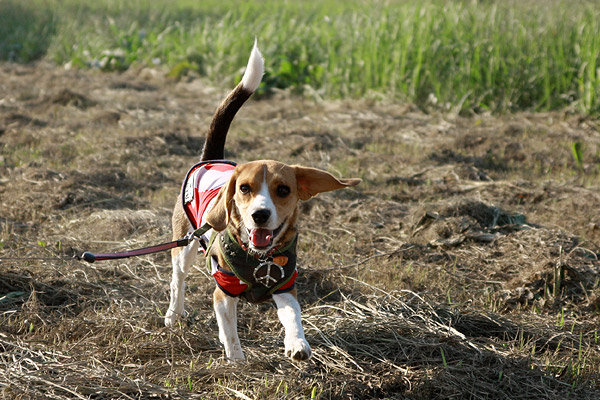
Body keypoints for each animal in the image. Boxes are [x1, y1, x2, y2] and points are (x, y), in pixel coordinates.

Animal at [164, 43, 360, 362]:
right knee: (177, 280)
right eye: (244, 188)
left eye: (283, 190)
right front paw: (236, 361)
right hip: (185, 244)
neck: (259, 256)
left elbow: (292, 316)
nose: (260, 215)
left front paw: (297, 343)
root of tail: (211, 159)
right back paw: (173, 313)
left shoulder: (285, 286)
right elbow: (231, 331)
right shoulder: (223, 291)